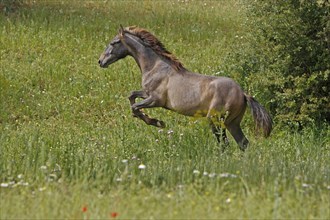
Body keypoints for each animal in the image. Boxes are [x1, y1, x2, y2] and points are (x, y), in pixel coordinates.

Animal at [96, 25, 272, 150]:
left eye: (113, 43)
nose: (100, 61)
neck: (156, 66)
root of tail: (243, 94)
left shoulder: (155, 100)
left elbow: (134, 106)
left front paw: (157, 122)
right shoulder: (146, 93)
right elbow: (132, 96)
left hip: (216, 120)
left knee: (225, 144)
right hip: (232, 123)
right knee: (243, 144)